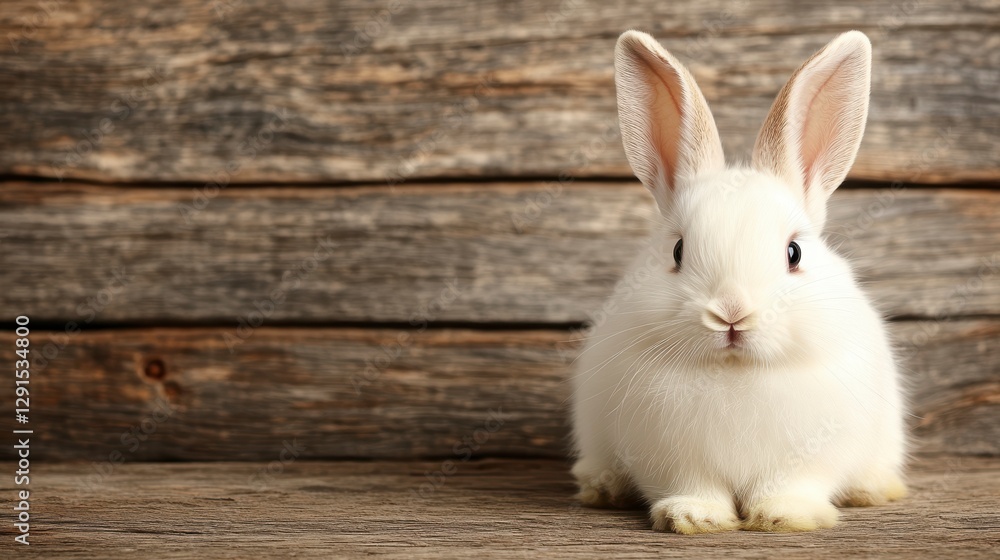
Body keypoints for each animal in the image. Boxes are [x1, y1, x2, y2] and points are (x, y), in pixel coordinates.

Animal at [570, 30, 908, 534]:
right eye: (678, 251)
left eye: (794, 253)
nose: (731, 313)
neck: (735, 372)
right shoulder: (671, 460)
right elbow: (693, 486)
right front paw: (695, 518)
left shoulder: (810, 457)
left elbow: (793, 485)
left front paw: (785, 516)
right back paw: (602, 487)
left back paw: (874, 489)